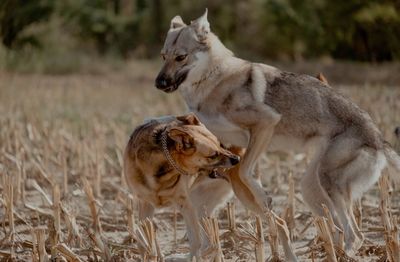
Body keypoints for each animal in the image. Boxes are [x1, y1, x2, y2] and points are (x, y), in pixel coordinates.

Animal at [123, 113, 239, 258]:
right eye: (213, 155)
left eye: (220, 144)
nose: (237, 159)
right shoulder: (145, 203)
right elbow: (144, 239)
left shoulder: (186, 205)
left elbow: (195, 241)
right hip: (202, 207)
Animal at [155, 9, 400, 252]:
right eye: (163, 56)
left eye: (181, 57)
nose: (158, 83)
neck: (212, 78)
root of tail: (380, 140)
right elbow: (241, 168)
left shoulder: (266, 123)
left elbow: (245, 171)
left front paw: (264, 197)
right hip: (311, 188)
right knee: (340, 230)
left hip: (326, 182)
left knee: (355, 235)